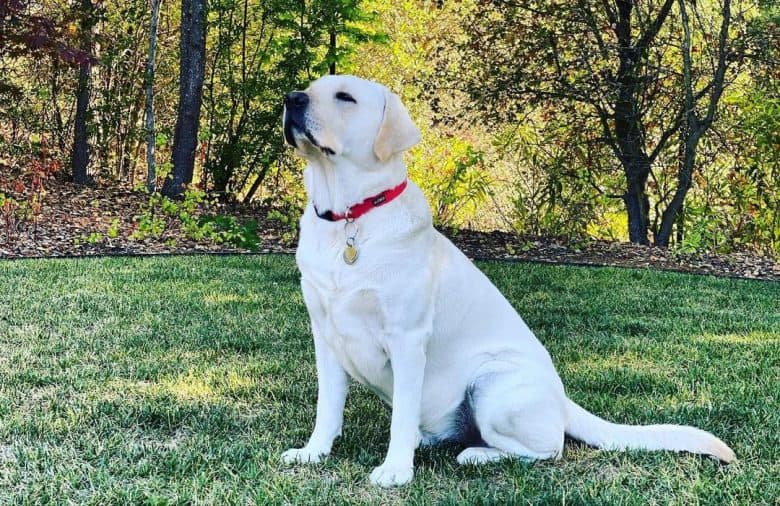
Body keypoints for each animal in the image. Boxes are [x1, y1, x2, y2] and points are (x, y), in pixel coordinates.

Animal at [282, 74, 736, 486]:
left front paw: (395, 470)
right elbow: (328, 407)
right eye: (312, 86)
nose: (292, 98)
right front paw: (313, 452)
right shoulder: (326, 335)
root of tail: (562, 400)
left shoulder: (407, 338)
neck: (350, 218)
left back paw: (476, 455)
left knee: (548, 448)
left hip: (491, 384)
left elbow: (401, 416)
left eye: (345, 97)